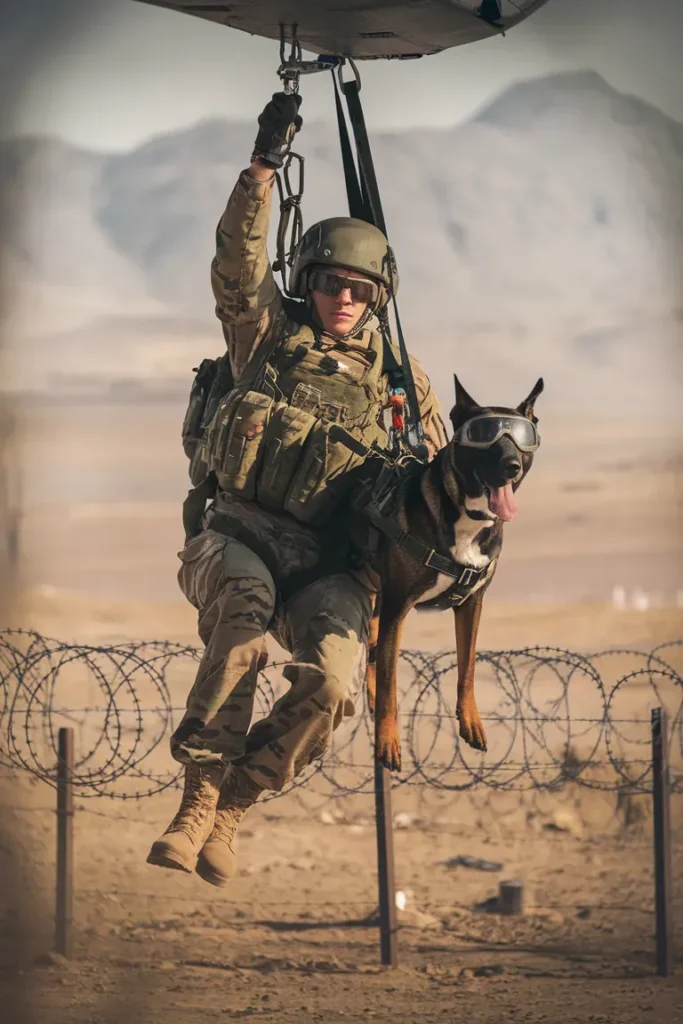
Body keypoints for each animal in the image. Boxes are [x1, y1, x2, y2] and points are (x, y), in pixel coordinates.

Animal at [358, 374, 544, 770]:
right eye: (484, 436)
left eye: (522, 438)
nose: (512, 466)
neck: (466, 516)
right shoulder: (398, 607)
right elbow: (390, 684)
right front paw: (388, 742)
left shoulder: (471, 604)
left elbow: (468, 666)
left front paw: (471, 722)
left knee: (370, 647)